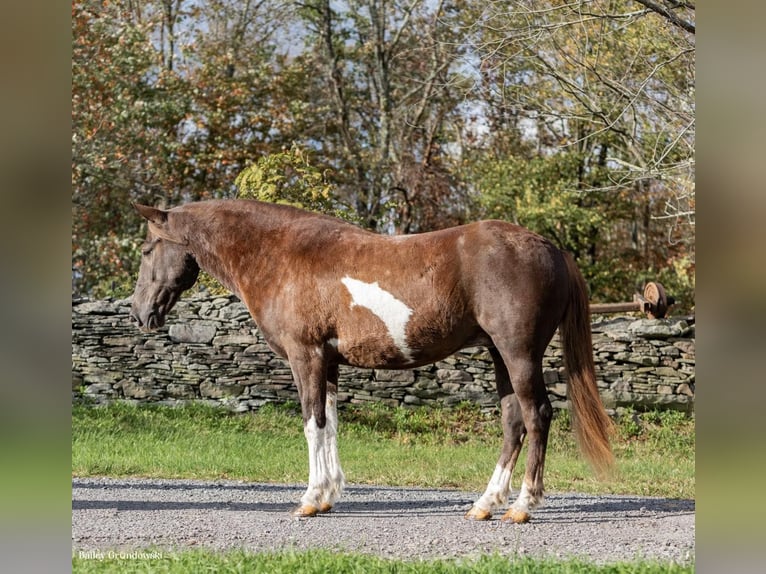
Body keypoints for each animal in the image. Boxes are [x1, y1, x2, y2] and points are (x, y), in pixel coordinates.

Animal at [130, 200, 612, 524]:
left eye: (148, 249)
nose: (139, 313)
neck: (280, 254)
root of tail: (551, 249)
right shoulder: (329, 362)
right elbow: (329, 423)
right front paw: (328, 495)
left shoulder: (305, 356)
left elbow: (311, 424)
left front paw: (310, 499)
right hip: (499, 355)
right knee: (513, 421)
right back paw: (485, 504)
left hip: (518, 353)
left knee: (537, 416)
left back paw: (522, 506)